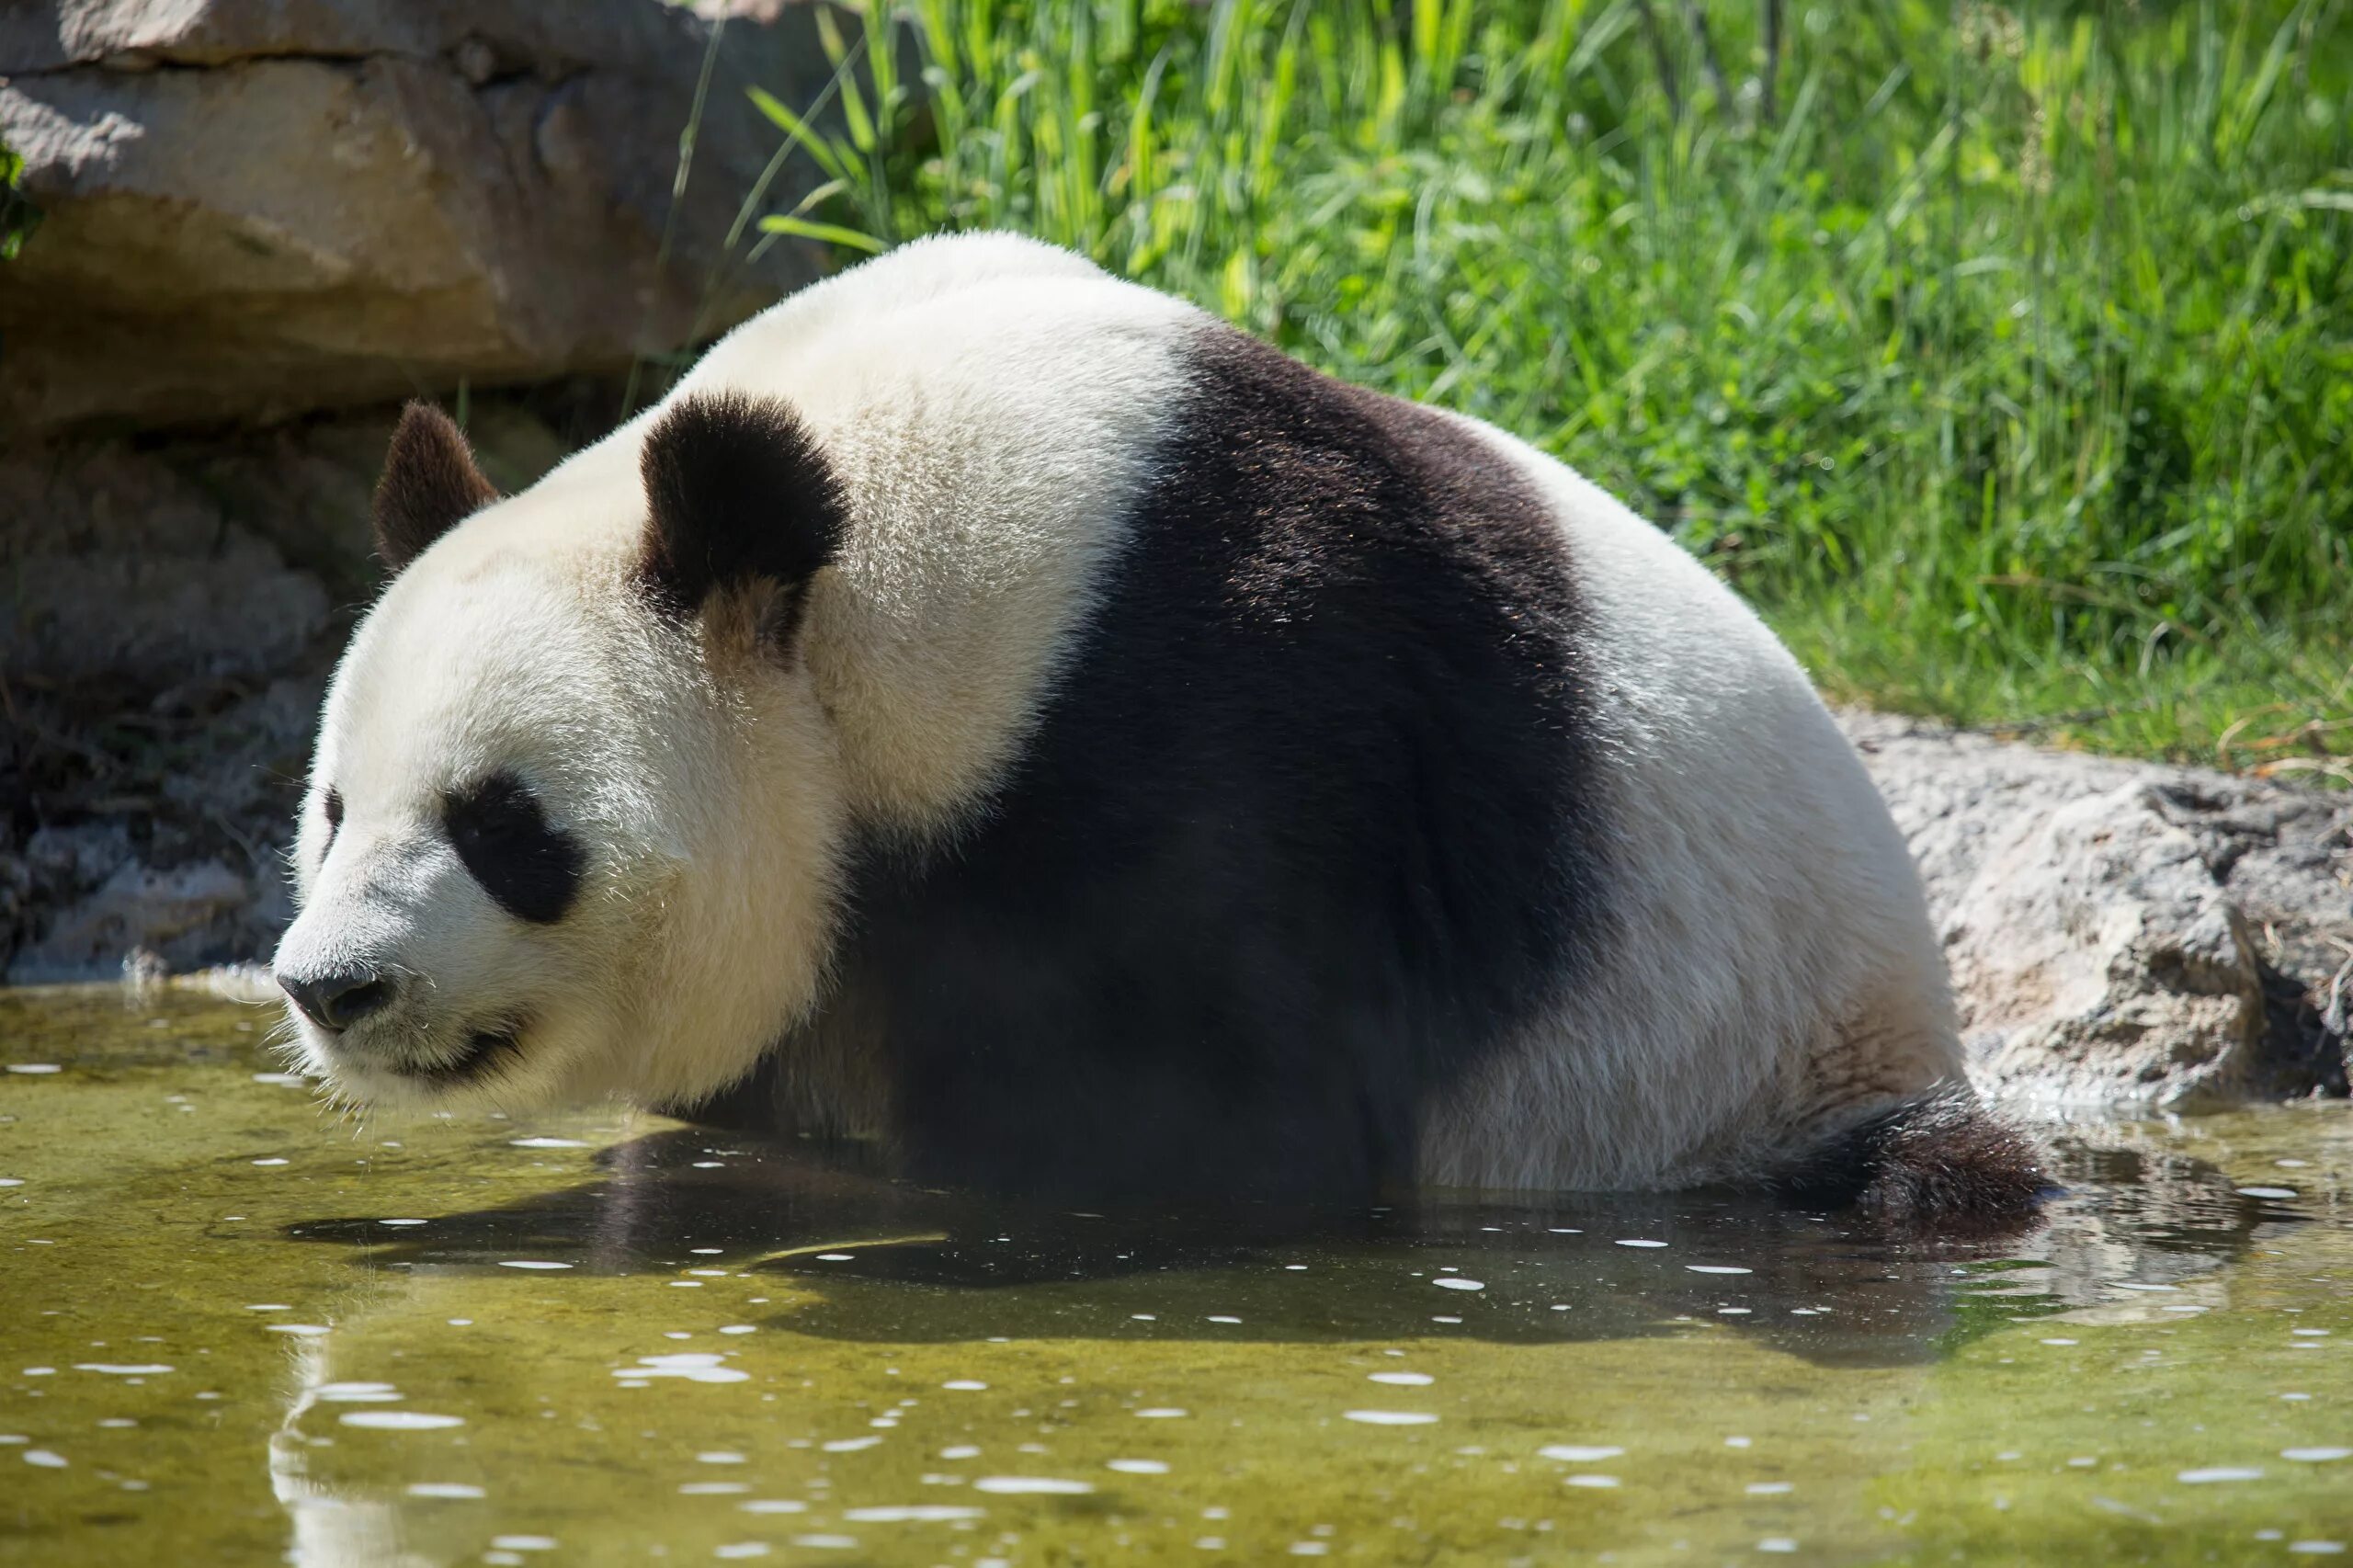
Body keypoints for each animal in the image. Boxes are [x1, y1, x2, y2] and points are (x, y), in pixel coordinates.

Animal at [270, 229, 2042, 1224]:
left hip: (1747, 1069)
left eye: (507, 825)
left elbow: (1217, 1122)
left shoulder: (1207, 726)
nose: (331, 986)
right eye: (336, 808)